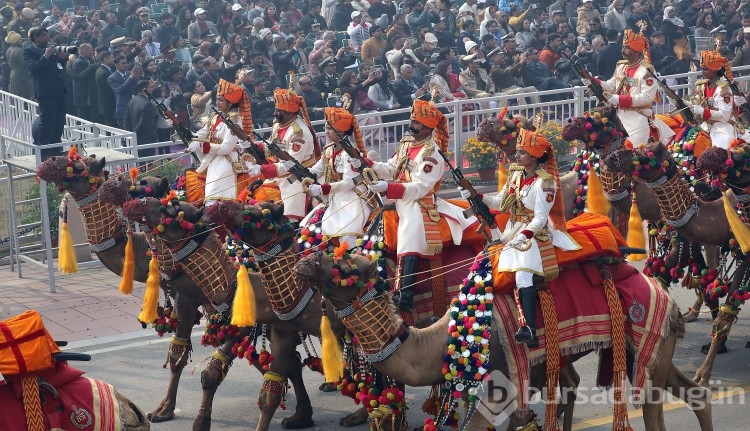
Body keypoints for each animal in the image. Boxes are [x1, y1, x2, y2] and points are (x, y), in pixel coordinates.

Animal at [294, 253, 716, 431]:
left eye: (344, 267)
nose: (303, 262)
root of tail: (661, 291)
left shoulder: (496, 391)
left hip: (644, 343)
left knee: (653, 410)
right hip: (649, 350)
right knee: (694, 393)